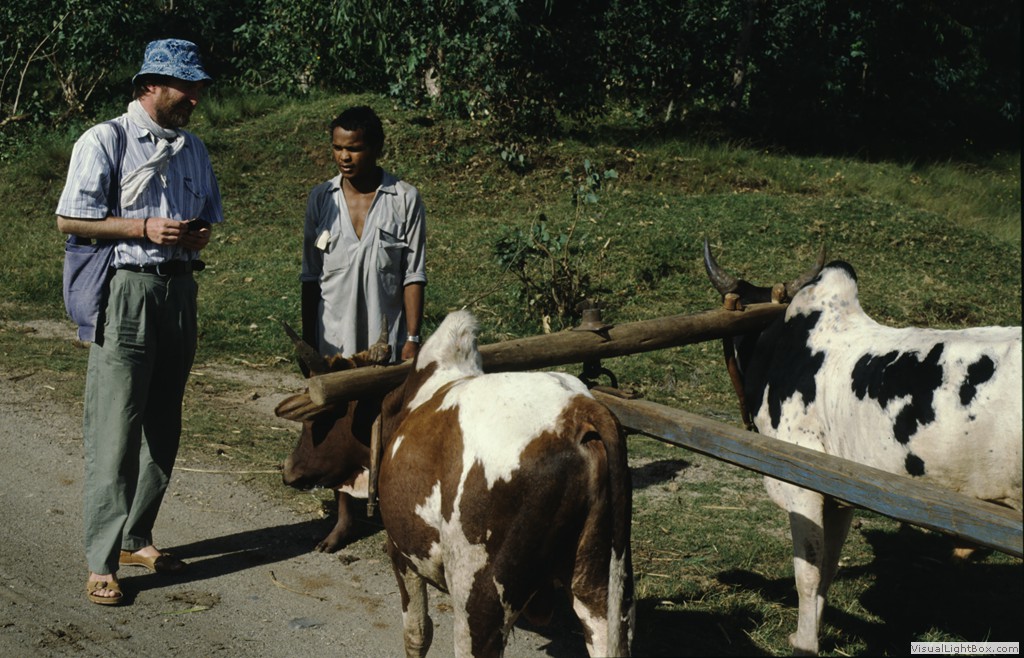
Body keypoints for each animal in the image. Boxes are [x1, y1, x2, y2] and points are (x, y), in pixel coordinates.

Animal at [703, 240, 1023, 655]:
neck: (783, 347)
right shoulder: (838, 494)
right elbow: (827, 568)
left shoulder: (801, 488)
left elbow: (807, 573)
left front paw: (804, 642)